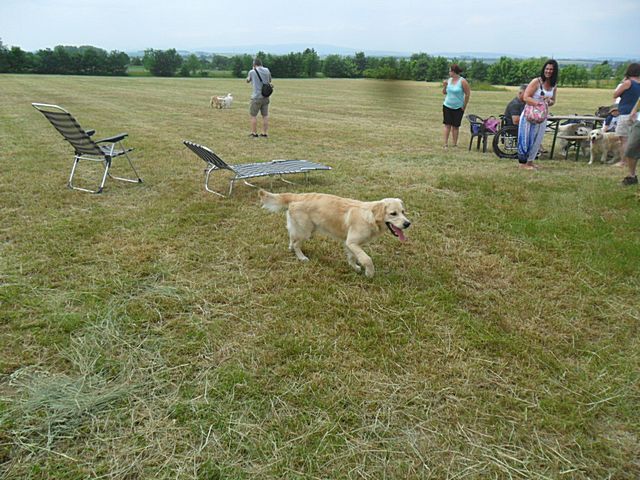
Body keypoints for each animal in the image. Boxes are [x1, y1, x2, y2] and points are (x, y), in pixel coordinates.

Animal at [259, 190, 411, 277]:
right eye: (393, 213)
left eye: (403, 212)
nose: (408, 224)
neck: (370, 217)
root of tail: (297, 196)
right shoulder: (352, 242)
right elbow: (367, 259)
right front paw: (370, 273)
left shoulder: (350, 243)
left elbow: (352, 257)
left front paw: (355, 267)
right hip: (306, 231)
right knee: (296, 243)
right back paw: (302, 257)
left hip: (304, 228)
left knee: (292, 237)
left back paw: (291, 249)